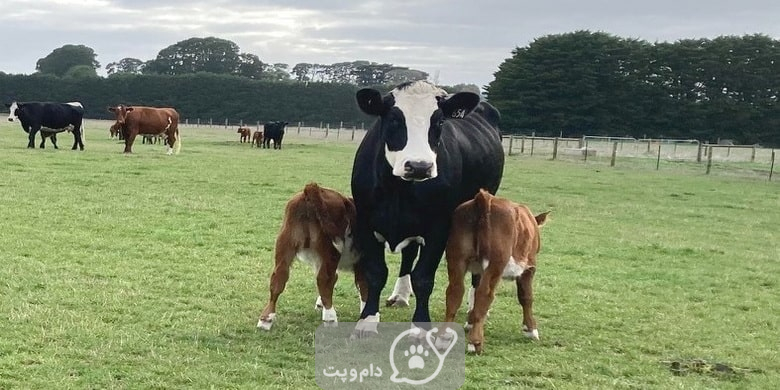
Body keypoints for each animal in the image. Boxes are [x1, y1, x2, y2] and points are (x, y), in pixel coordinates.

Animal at [256, 182, 366, 330]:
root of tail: (311, 189)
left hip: (286, 244)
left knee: (278, 278)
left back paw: (265, 320)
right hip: (330, 250)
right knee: (324, 279)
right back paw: (330, 318)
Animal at [348, 80, 506, 336]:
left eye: (439, 122)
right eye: (394, 119)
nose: (419, 166)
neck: (398, 191)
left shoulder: (439, 228)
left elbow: (423, 277)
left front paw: (421, 325)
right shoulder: (366, 221)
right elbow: (376, 271)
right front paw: (368, 320)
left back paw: (474, 310)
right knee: (409, 253)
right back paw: (401, 294)